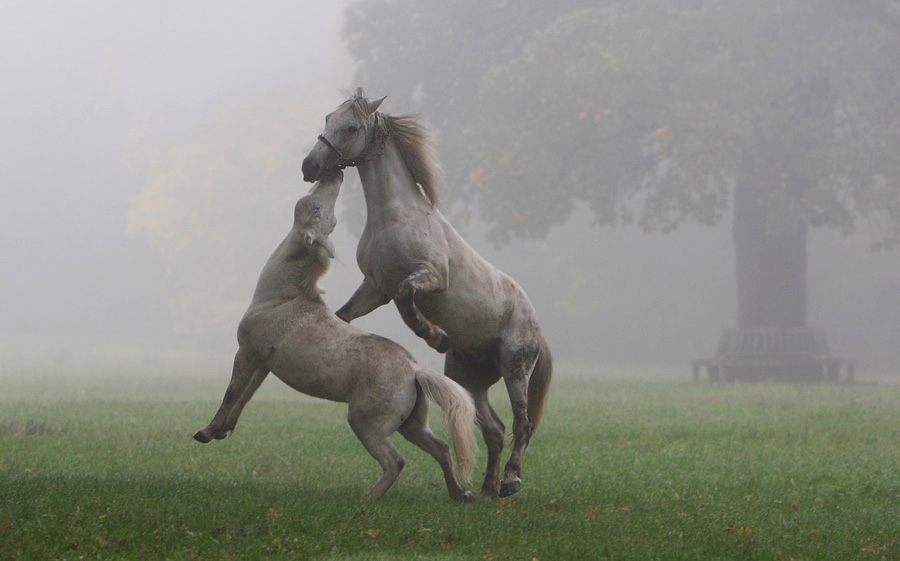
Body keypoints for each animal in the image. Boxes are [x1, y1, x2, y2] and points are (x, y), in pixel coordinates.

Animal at [195, 170, 478, 498]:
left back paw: (368, 499)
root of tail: (414, 369)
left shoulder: (247, 352)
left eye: (317, 209)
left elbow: (231, 392)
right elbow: (245, 396)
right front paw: (222, 430)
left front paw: (205, 432)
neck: (282, 298)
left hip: (367, 424)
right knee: (442, 448)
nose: (336, 174)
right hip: (412, 426)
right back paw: (460, 494)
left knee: (396, 461)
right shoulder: (263, 363)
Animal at [302, 89, 552, 496]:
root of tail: (535, 324)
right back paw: (486, 488)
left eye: (351, 127)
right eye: (327, 118)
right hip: (471, 379)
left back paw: (510, 481)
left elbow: (408, 298)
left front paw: (435, 337)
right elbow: (344, 316)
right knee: (495, 430)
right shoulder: (375, 287)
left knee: (522, 424)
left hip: (515, 367)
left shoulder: (428, 277)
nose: (310, 165)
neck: (394, 216)